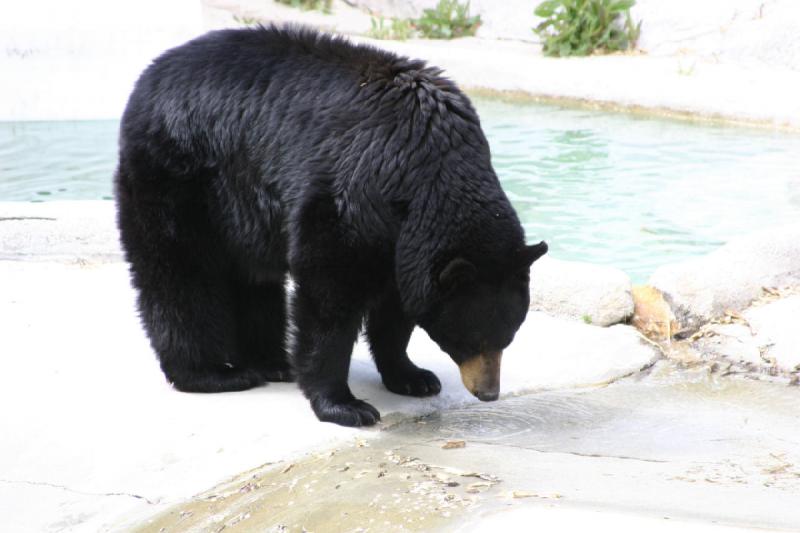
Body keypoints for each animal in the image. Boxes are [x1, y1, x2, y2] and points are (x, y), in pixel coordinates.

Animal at [115, 26, 548, 428]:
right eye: (469, 339)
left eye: (509, 335)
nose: (488, 393)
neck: (431, 166)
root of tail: (150, 75)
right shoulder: (353, 194)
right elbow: (329, 294)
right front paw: (345, 405)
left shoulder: (401, 239)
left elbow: (396, 305)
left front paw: (413, 376)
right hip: (179, 172)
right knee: (179, 270)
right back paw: (213, 373)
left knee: (254, 279)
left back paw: (272, 361)